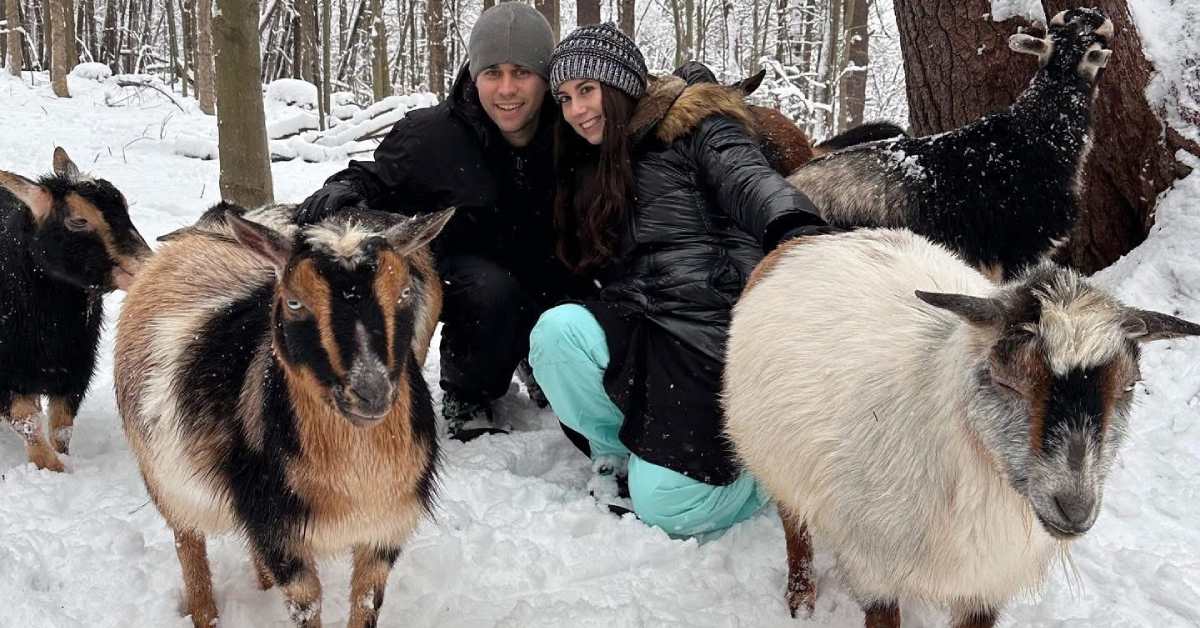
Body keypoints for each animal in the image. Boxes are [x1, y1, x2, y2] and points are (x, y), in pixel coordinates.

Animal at [0, 148, 152, 470]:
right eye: (78, 221)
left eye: (125, 208)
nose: (146, 265)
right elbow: (28, 421)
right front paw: (50, 468)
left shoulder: (76, 367)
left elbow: (61, 425)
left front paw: (62, 460)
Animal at [114, 206, 451, 628]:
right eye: (294, 303)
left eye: (405, 293)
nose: (370, 392)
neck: (358, 479)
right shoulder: (278, 531)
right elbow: (307, 604)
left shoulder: (384, 530)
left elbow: (366, 601)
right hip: (164, 481)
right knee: (188, 543)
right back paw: (205, 614)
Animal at [720, 229, 1200, 628]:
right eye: (1006, 380)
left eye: (1129, 386)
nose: (1074, 507)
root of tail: (806, 239)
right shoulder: (873, 568)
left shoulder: (986, 585)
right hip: (774, 459)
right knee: (793, 524)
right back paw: (801, 597)